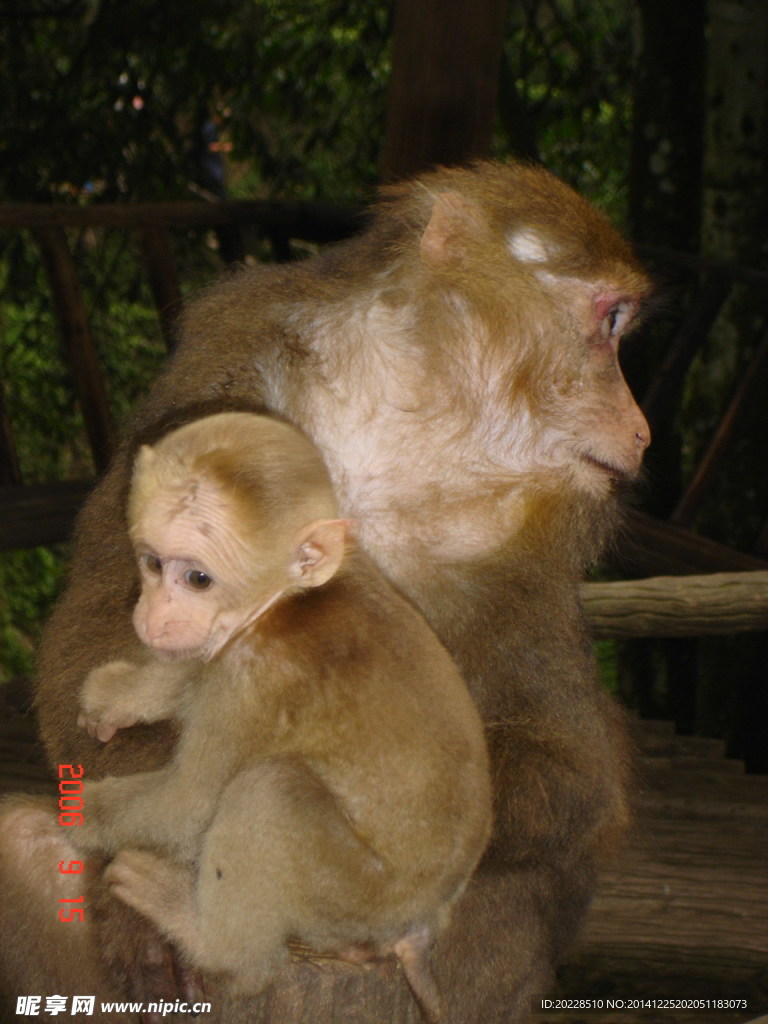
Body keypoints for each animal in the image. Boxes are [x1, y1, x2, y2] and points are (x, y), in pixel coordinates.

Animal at [78, 411, 493, 1019]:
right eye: (152, 563)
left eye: (197, 579)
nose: (152, 616)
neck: (283, 603)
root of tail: (422, 925)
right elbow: (195, 670)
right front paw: (121, 694)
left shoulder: (254, 680)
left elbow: (187, 806)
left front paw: (73, 812)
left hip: (358, 897)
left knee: (270, 790)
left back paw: (214, 944)